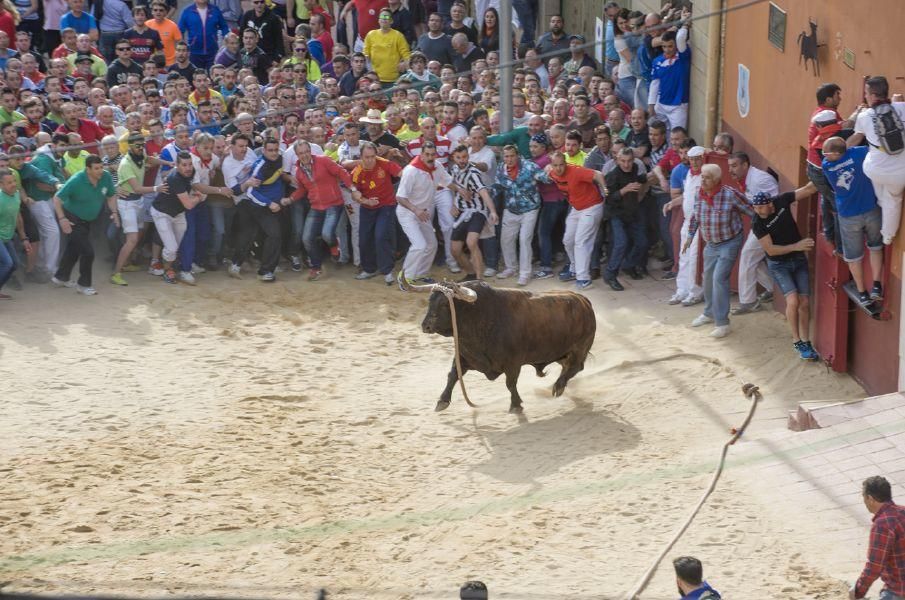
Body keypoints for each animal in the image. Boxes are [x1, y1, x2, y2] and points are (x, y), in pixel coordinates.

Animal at [400, 278, 596, 412]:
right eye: (430, 300)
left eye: (443, 304)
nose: (425, 326)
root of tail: (583, 301)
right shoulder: (463, 357)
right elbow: (453, 375)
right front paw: (442, 400)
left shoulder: (513, 364)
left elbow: (510, 384)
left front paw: (516, 404)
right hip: (560, 352)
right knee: (568, 366)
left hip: (579, 349)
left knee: (576, 367)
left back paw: (558, 386)